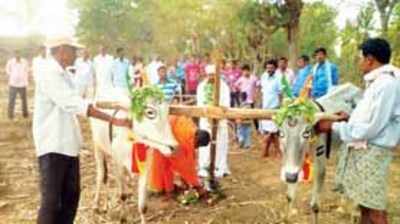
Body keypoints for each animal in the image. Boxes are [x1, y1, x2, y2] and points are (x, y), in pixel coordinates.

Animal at [91, 88, 179, 224]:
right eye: (150, 112)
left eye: (168, 112)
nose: (174, 147)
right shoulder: (118, 165)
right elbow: (122, 195)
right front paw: (123, 218)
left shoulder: (146, 167)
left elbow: (143, 205)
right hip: (97, 145)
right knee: (101, 175)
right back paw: (96, 205)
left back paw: (105, 205)